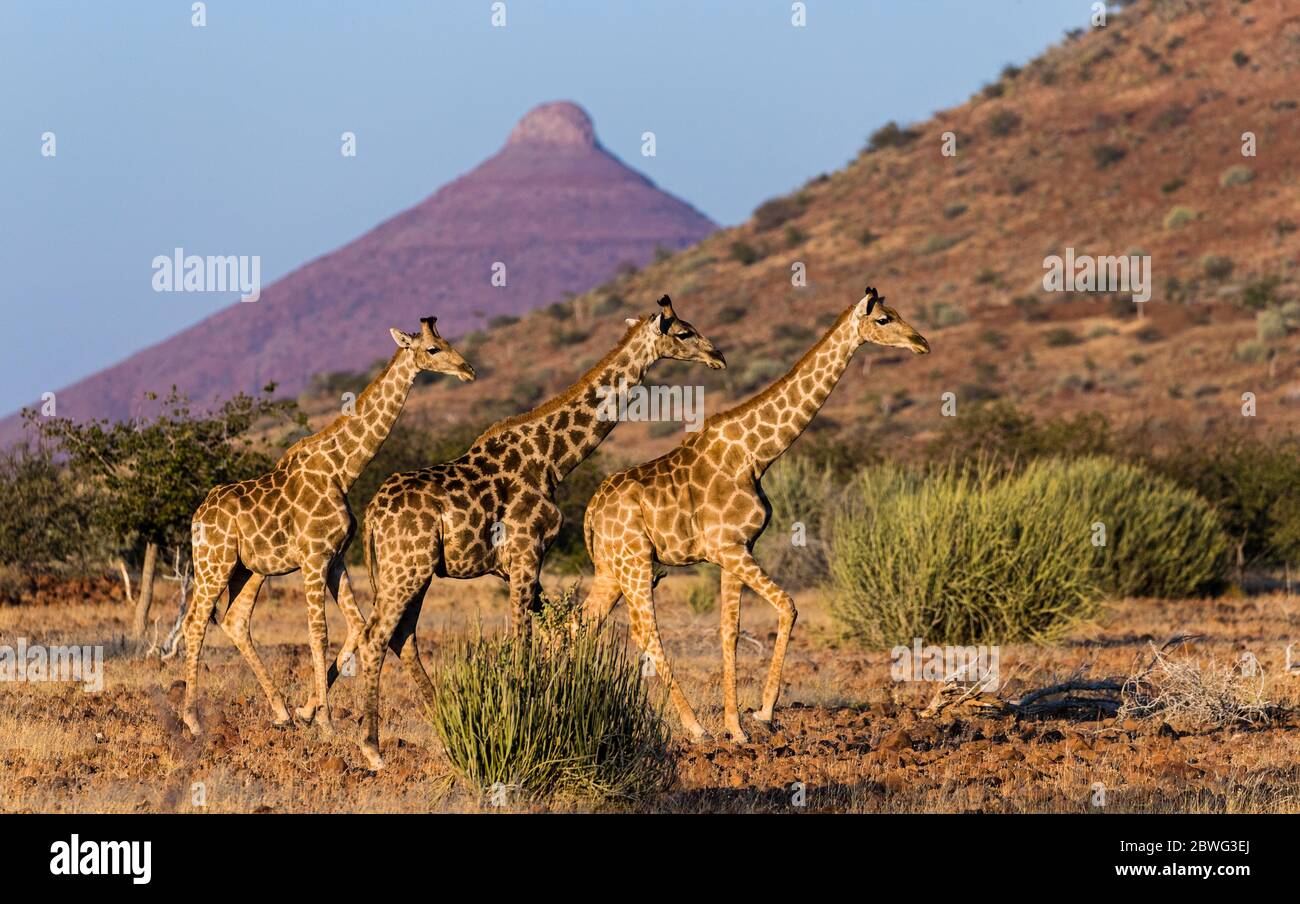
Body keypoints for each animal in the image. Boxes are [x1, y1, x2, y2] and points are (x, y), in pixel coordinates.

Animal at [179, 317, 475, 737]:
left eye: (447, 341)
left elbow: (357, 625)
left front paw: (308, 712)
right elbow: (318, 634)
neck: (341, 471)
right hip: (212, 562)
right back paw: (192, 719)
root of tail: (198, 514)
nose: (468, 370)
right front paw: (327, 721)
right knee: (194, 622)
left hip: (247, 569)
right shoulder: (314, 557)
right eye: (433, 349)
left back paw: (281, 711)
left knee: (235, 620)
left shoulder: (335, 559)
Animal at [353, 296, 725, 769]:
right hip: (407, 568)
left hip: (412, 571)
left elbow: (554, 629)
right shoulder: (526, 552)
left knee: (401, 636)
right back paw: (372, 749)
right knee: (374, 637)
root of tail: (371, 513)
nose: (718, 356)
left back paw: (439, 723)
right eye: (683, 332)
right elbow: (523, 641)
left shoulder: (518, 565)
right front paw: (518, 719)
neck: (552, 459)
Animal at [581, 287, 929, 742]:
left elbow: (729, 632)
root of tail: (591, 510)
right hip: (635, 562)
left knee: (581, 622)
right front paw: (763, 713)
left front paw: (737, 728)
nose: (921, 342)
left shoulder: (736, 550)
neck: (756, 454)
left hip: (611, 567)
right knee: (647, 633)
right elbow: (788, 606)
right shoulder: (729, 548)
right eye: (884, 319)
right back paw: (695, 728)